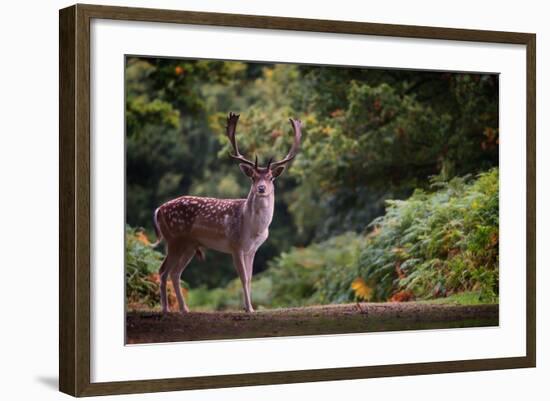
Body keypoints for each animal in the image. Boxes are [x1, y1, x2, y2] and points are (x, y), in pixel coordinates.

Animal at [153, 112, 304, 312]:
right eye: (253, 177)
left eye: (271, 177)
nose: (261, 188)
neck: (253, 228)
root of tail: (158, 210)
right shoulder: (235, 245)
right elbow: (243, 278)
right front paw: (249, 309)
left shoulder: (252, 249)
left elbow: (249, 278)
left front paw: (250, 307)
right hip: (173, 239)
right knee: (163, 270)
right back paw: (165, 309)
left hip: (189, 245)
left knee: (175, 272)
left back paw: (185, 309)